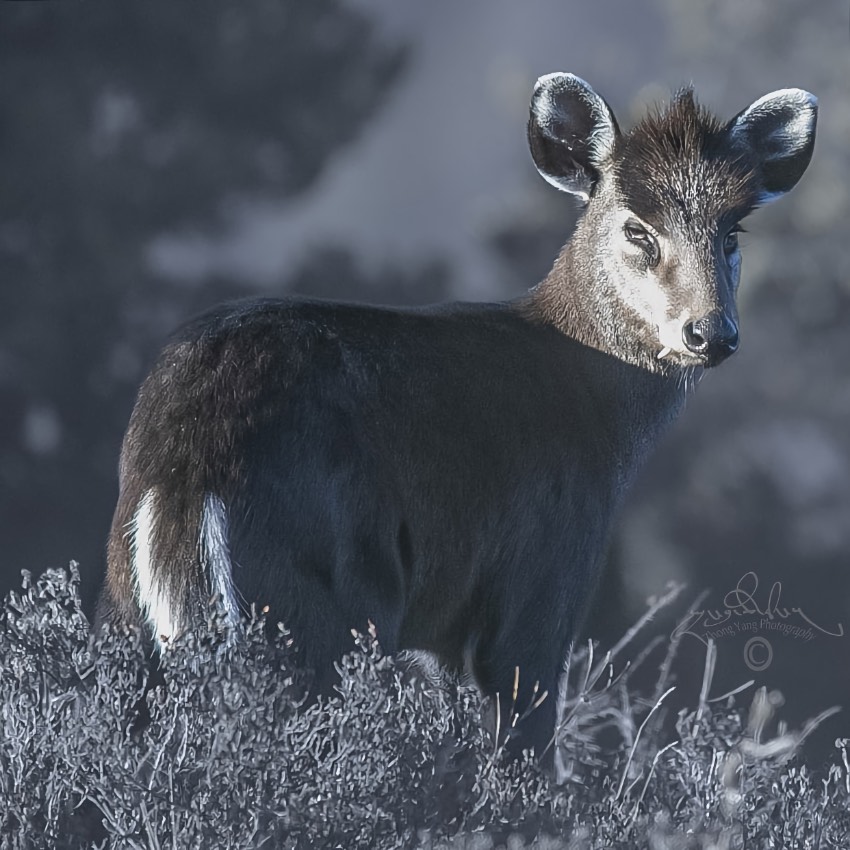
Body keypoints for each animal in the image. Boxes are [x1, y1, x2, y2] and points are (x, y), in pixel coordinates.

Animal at [96, 73, 817, 757]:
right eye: (638, 229)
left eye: (732, 231)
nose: (711, 333)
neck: (601, 418)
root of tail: (182, 475)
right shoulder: (545, 575)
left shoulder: (444, 634)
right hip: (317, 604)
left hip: (129, 616)